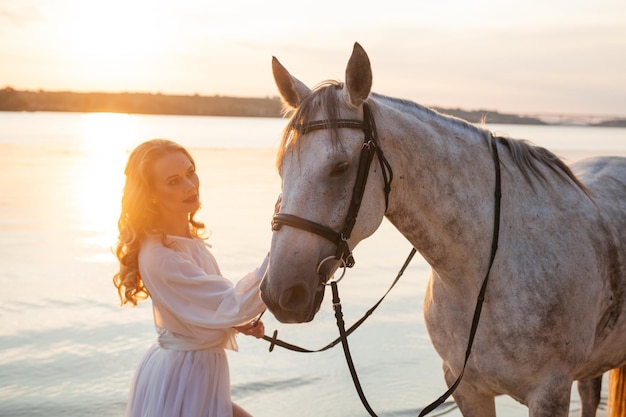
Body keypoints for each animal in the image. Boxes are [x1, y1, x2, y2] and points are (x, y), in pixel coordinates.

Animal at [258, 43, 624, 416]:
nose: (279, 293)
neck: (487, 272)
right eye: (281, 167)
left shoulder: (549, 393)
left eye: (340, 167)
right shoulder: (468, 389)